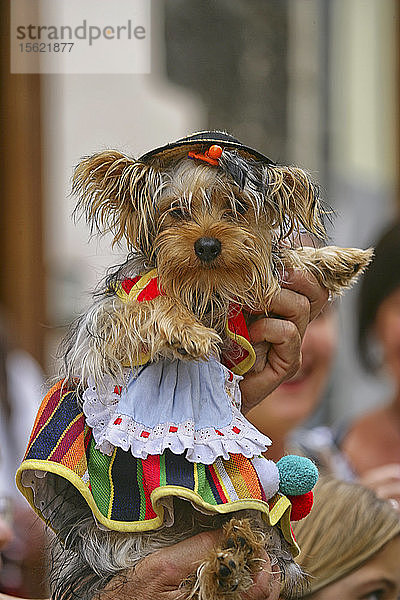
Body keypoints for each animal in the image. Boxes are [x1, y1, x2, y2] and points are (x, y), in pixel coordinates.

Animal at [15, 132, 372, 600]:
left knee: (247, 537)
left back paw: (235, 556)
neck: (201, 287)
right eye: (177, 211)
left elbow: (278, 267)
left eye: (236, 208)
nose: (207, 245)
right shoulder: (109, 326)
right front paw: (189, 333)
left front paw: (335, 260)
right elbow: (151, 309)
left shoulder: (243, 314)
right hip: (129, 540)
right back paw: (226, 566)